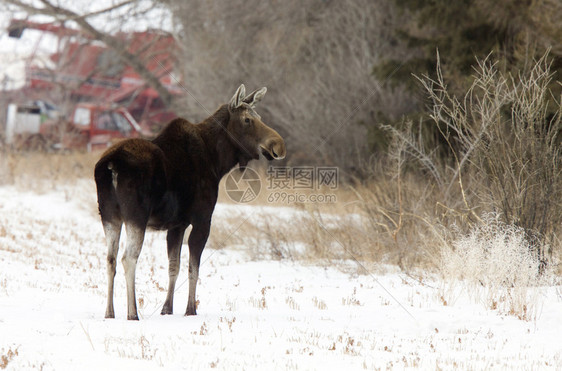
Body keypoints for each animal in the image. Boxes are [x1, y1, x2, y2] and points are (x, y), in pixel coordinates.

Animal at [95, 84, 284, 320]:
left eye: (258, 117)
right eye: (248, 119)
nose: (278, 145)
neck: (218, 161)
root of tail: (110, 166)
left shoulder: (177, 225)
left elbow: (173, 266)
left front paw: (167, 309)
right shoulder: (202, 219)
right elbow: (194, 267)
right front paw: (190, 309)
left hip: (110, 216)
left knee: (110, 259)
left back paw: (109, 312)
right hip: (136, 216)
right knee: (128, 258)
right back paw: (132, 313)